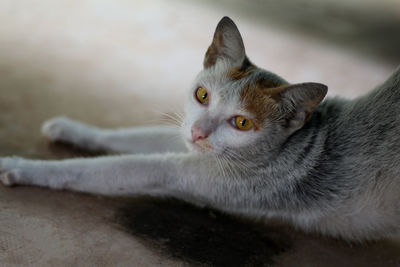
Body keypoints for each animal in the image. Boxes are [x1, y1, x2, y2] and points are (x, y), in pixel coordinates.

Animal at [0, 16, 400, 243]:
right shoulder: (187, 137)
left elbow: (100, 169)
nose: (198, 134)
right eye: (202, 95)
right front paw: (72, 127)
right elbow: (129, 136)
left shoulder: (201, 174)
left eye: (242, 123)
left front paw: (21, 166)